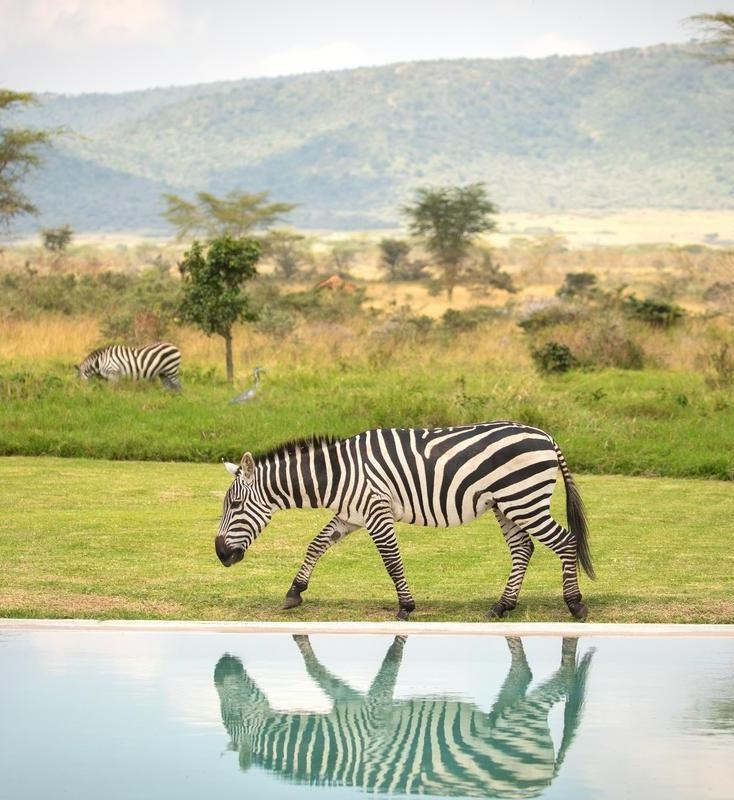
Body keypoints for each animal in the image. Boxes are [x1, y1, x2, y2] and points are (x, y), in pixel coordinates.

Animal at [214, 634, 595, 798]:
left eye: (232, 711)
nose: (218, 671)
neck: (335, 745)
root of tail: (544, 782)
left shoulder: (371, 713)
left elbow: (386, 666)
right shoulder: (348, 703)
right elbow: (316, 670)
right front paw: (301, 636)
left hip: (519, 723)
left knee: (557, 682)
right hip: (506, 716)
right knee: (522, 675)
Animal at [215, 421, 595, 620]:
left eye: (234, 504)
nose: (220, 554)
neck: (337, 475)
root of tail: (546, 436)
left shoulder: (376, 512)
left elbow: (392, 561)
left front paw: (405, 607)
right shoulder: (350, 515)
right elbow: (315, 545)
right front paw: (294, 592)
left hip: (524, 499)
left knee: (565, 542)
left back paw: (575, 604)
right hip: (508, 504)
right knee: (523, 549)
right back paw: (503, 606)